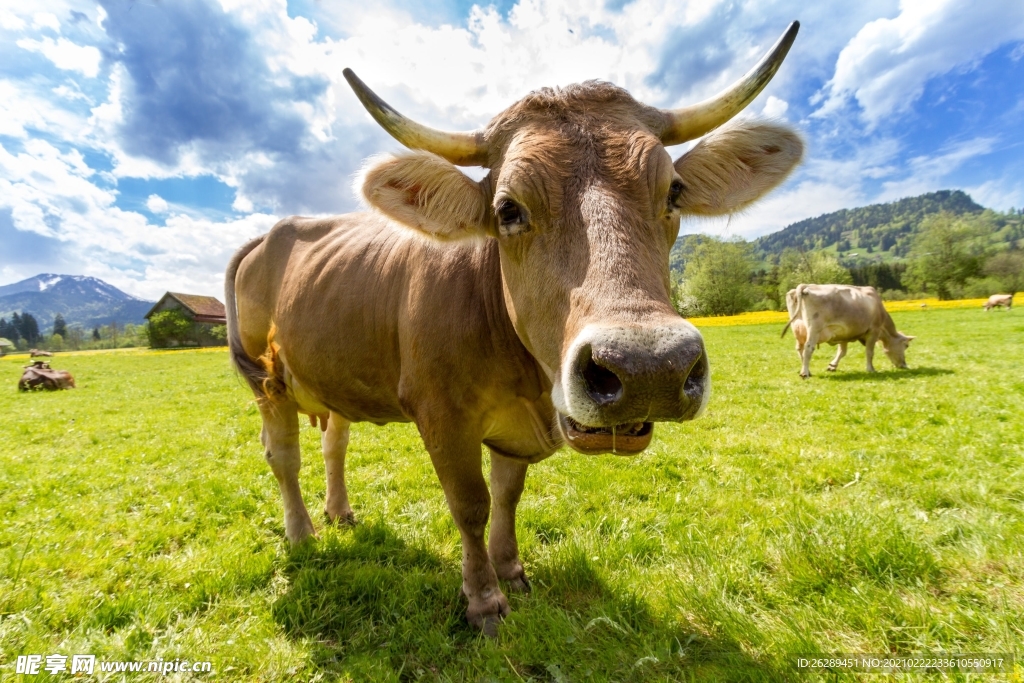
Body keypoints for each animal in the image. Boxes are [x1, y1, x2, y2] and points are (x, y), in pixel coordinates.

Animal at [228, 24, 802, 634]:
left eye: (673, 191)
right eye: (507, 209)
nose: (649, 368)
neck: (525, 380)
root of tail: (274, 231)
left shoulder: (513, 431)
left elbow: (507, 496)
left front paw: (512, 572)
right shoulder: (441, 414)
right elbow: (471, 504)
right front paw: (483, 599)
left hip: (332, 373)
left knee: (334, 441)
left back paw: (339, 513)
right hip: (267, 381)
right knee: (283, 456)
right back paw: (302, 534)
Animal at [778, 284, 917, 378]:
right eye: (906, 345)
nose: (904, 365)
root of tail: (806, 286)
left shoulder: (842, 333)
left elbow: (842, 352)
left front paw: (832, 366)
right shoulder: (873, 331)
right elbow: (869, 352)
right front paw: (871, 369)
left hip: (798, 329)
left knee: (800, 349)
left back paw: (806, 370)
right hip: (814, 330)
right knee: (808, 348)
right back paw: (805, 373)